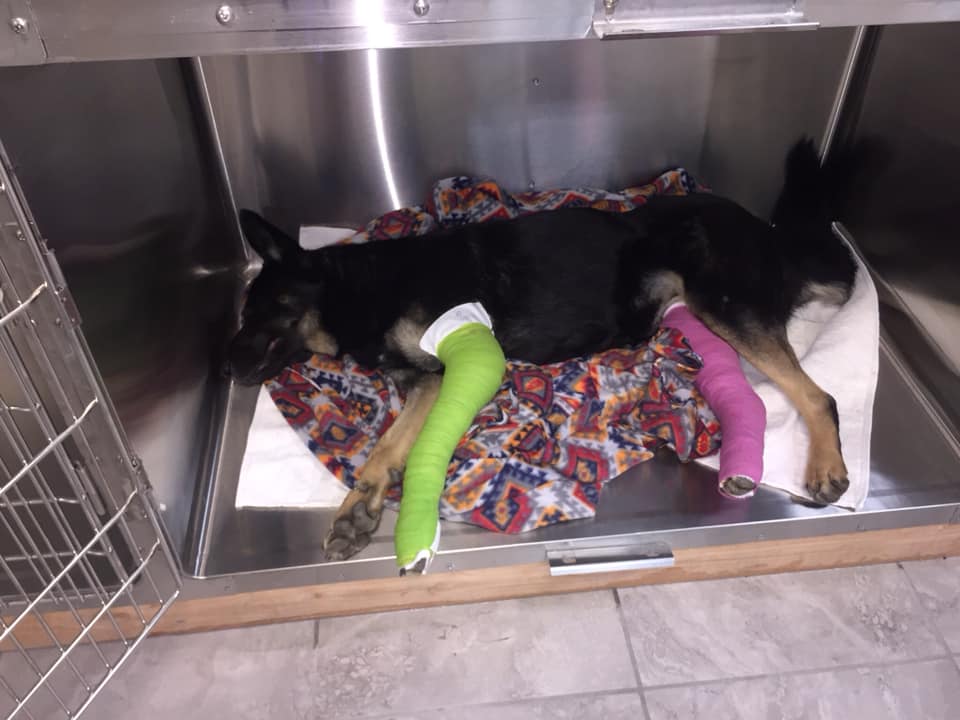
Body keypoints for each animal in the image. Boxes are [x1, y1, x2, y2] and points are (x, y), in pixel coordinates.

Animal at [229, 139, 857, 561]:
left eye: (255, 311)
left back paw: (827, 464)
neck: (356, 287)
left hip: (724, 303)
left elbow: (384, 444)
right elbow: (389, 445)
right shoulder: (420, 378)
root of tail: (772, 237)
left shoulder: (439, 370)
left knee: (819, 396)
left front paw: (358, 507)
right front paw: (360, 509)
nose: (225, 366)